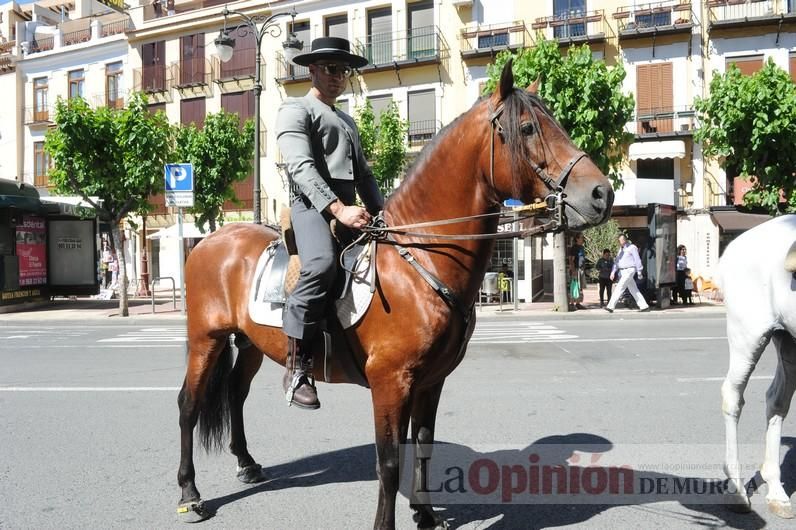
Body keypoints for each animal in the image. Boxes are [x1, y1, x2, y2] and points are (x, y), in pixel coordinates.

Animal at [177, 60, 612, 524]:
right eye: (529, 128)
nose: (601, 193)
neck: (420, 257)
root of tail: (207, 241)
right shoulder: (391, 383)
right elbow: (388, 462)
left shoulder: (430, 381)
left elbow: (421, 446)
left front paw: (426, 514)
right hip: (205, 340)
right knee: (189, 405)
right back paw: (190, 492)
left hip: (250, 344)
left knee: (235, 395)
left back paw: (247, 463)